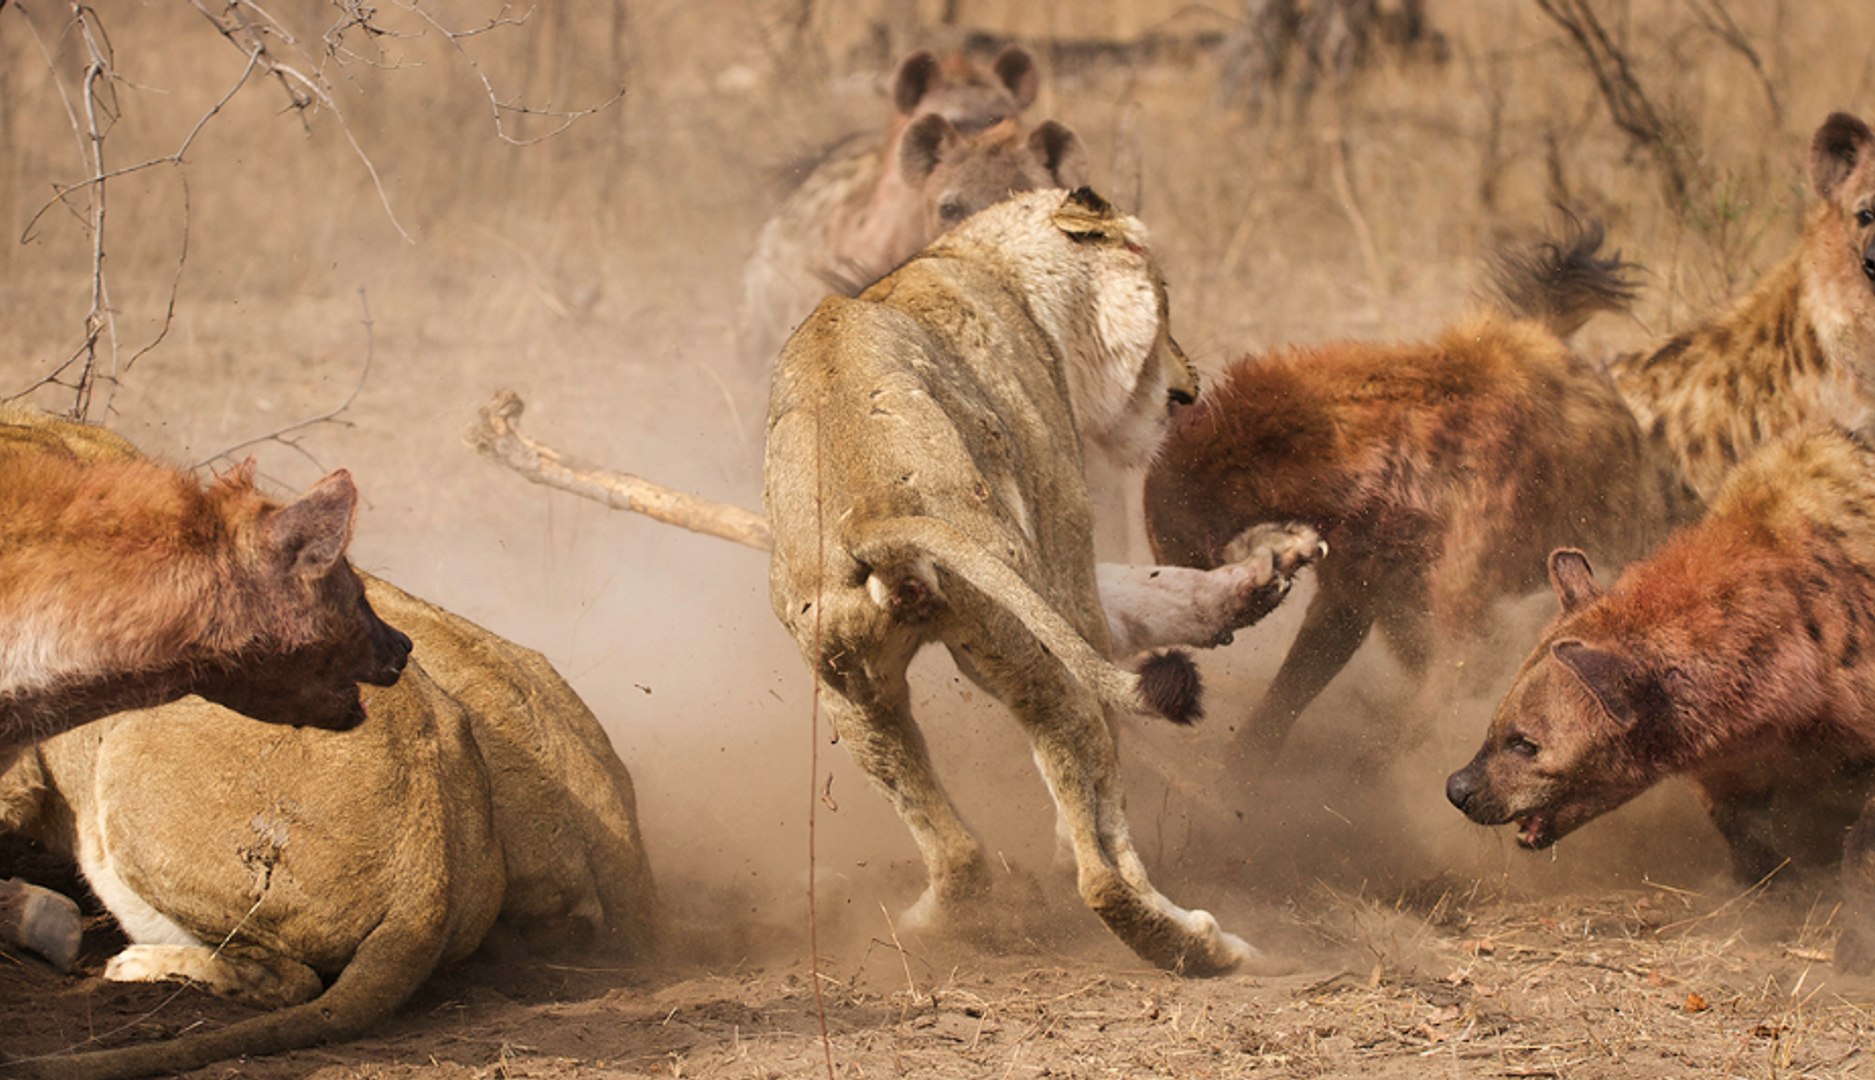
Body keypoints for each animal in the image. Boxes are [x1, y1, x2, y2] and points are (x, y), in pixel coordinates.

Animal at [757, 183, 1290, 967]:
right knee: (1101, 869)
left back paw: (931, 923)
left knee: (958, 857)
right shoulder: (1067, 561)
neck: (981, 258)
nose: (1189, 391)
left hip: (854, 698)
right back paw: (1204, 947)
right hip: (1037, 654)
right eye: (1166, 301)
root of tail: (876, 514)